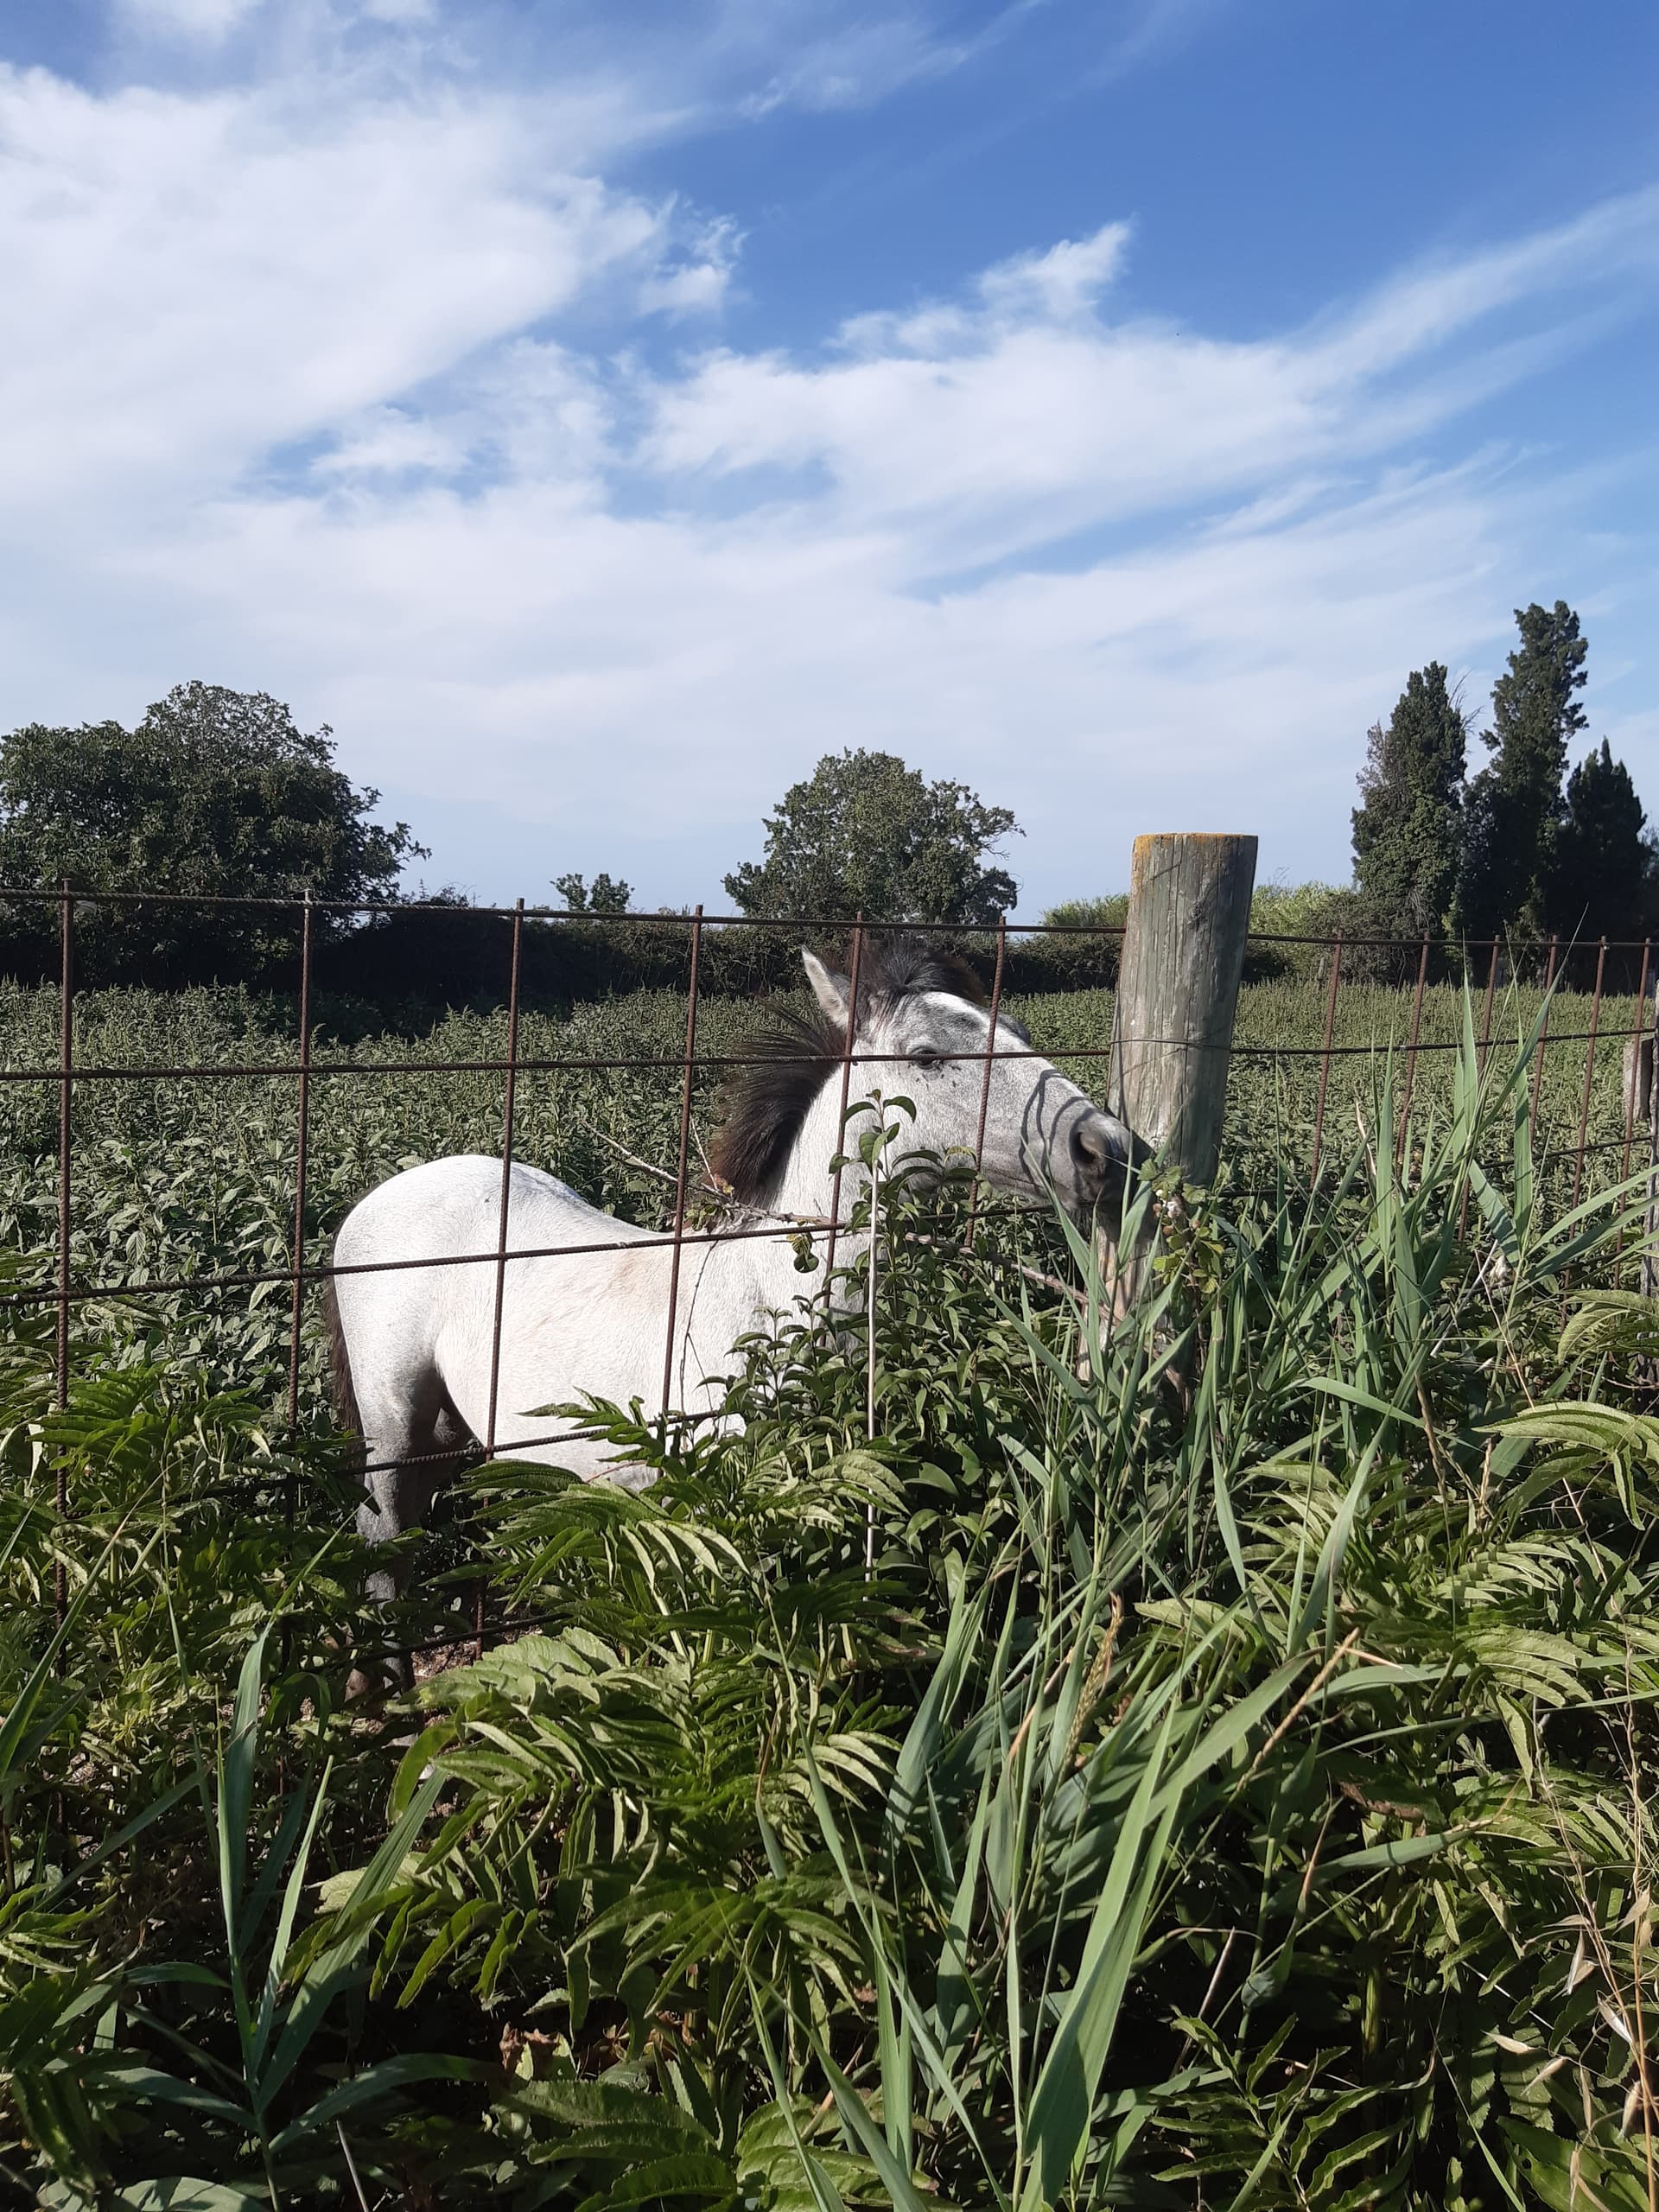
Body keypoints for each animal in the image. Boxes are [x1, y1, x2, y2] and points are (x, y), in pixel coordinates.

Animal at [325, 936, 1139, 1588]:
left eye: (1019, 1030)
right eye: (929, 1057)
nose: (1108, 1150)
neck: (768, 1302)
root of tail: (384, 1194)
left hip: (447, 1428)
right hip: (391, 1424)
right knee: (382, 1536)